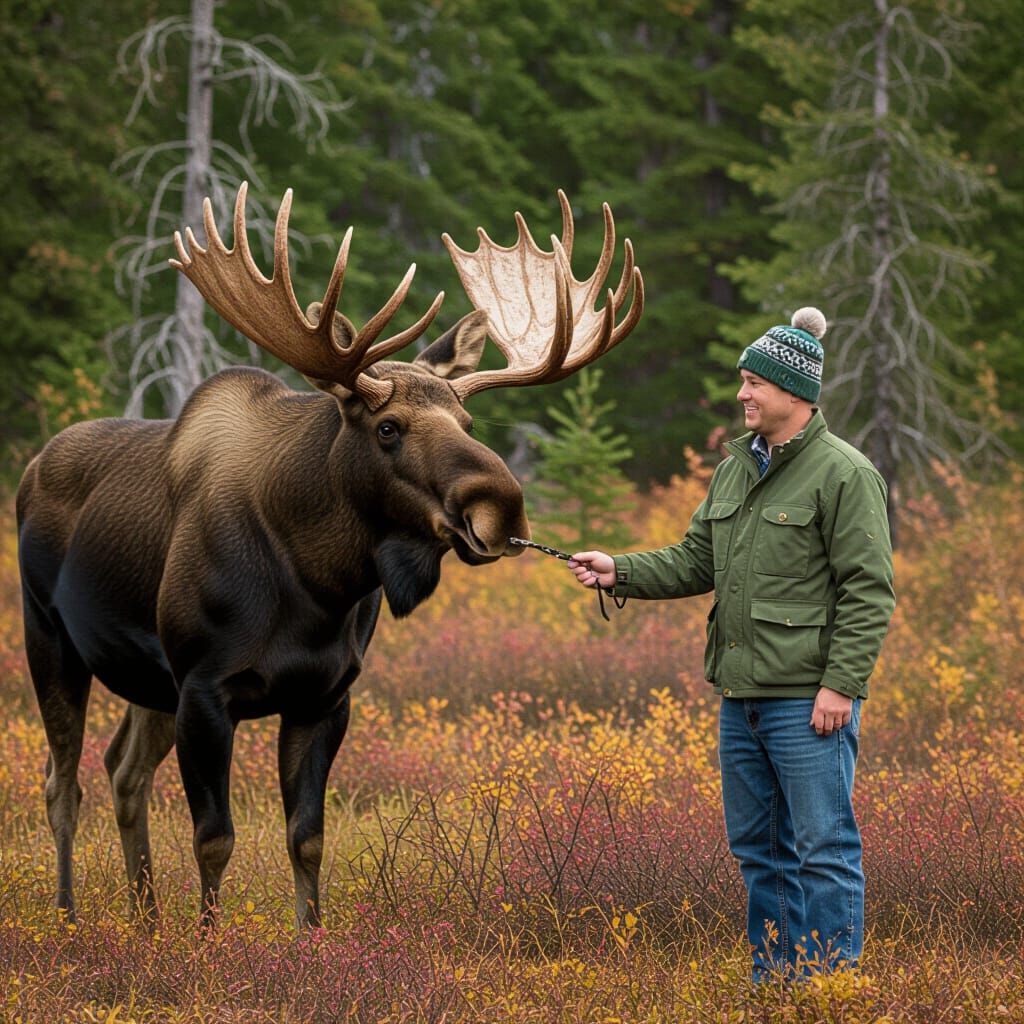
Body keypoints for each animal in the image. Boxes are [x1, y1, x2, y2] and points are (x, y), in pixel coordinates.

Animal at [16, 182, 643, 928]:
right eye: (388, 427)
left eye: (466, 423)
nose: (501, 504)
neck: (316, 583)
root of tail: (30, 469)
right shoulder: (204, 685)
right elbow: (214, 839)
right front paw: (206, 938)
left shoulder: (325, 696)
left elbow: (307, 838)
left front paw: (310, 936)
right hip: (51, 638)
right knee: (63, 782)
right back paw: (68, 915)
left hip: (149, 680)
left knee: (123, 772)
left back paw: (146, 920)